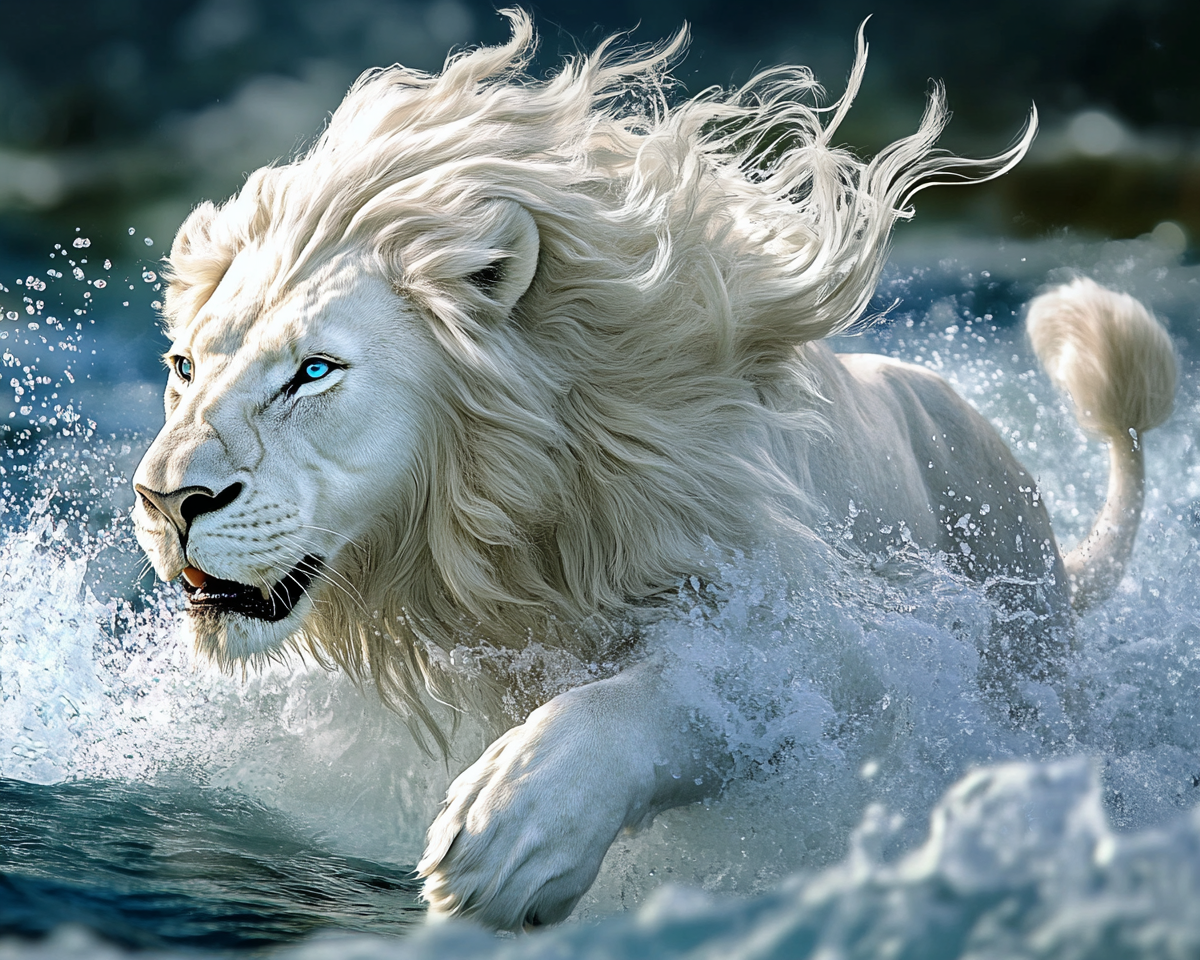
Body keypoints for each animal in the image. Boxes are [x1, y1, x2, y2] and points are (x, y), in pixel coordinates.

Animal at [131, 12, 1177, 930]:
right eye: (183, 364)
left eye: (314, 372)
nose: (169, 501)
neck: (512, 535)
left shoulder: (844, 641)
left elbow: (674, 698)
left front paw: (513, 832)